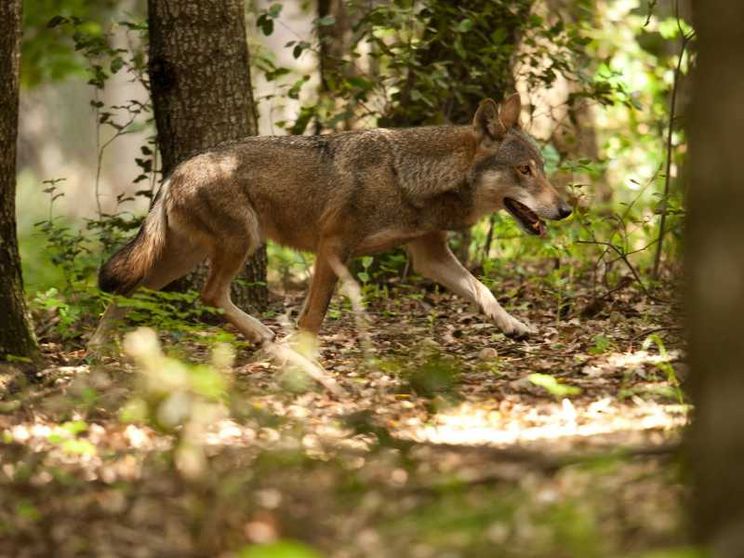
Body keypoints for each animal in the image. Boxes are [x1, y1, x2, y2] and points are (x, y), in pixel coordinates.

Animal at [91, 93, 572, 349]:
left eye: (541, 169)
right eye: (525, 171)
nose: (566, 210)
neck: (411, 176)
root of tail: (176, 169)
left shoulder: (428, 256)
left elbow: (482, 290)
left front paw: (513, 325)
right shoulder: (333, 248)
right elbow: (314, 316)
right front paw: (307, 359)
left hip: (183, 257)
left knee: (130, 291)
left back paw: (96, 351)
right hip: (241, 242)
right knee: (208, 295)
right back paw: (261, 334)